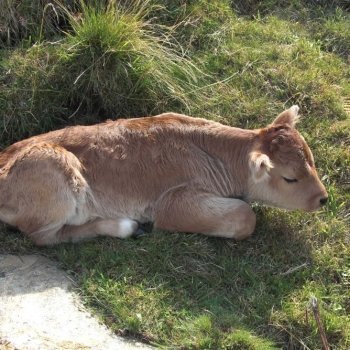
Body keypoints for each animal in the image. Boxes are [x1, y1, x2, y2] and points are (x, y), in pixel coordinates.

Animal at [0, 105, 328, 245]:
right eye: (290, 178)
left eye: (312, 160)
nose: (323, 199)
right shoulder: (172, 202)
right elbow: (246, 216)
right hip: (53, 170)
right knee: (44, 237)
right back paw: (125, 227)